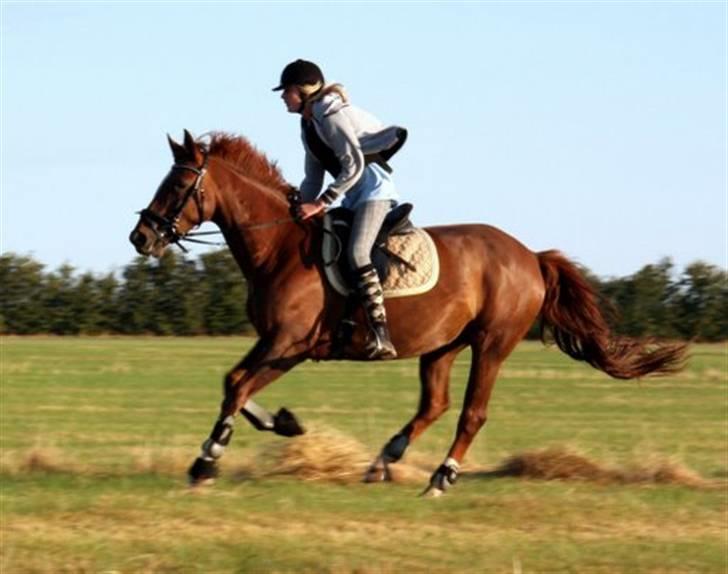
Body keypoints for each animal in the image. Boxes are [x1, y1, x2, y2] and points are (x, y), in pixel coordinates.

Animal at [129, 129, 688, 496]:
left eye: (177, 186)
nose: (141, 237)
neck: (280, 247)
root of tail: (530, 256)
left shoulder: (290, 343)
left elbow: (239, 386)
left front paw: (206, 462)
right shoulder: (275, 341)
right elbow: (236, 383)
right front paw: (284, 423)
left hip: (492, 343)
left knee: (471, 413)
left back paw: (441, 478)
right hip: (441, 346)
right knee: (434, 405)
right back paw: (383, 461)